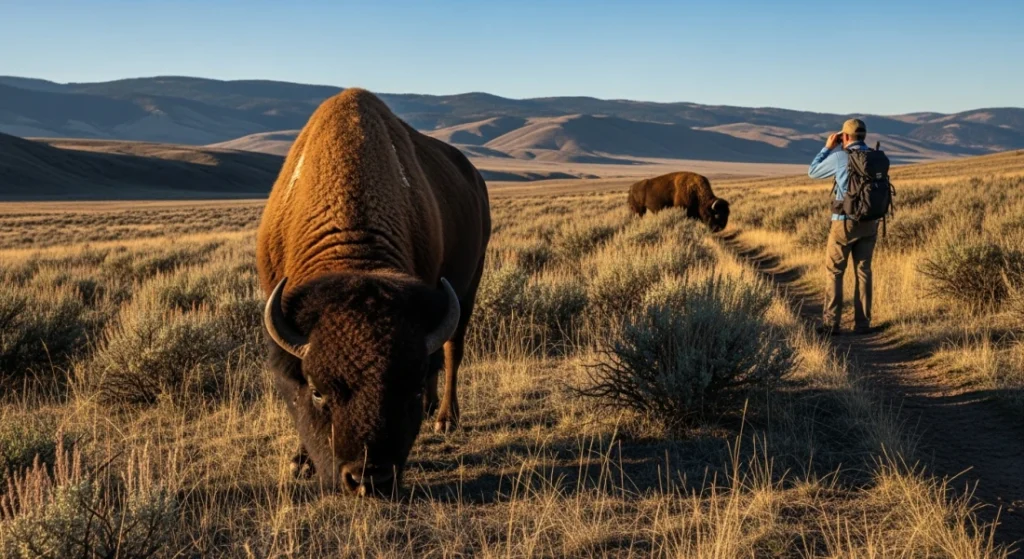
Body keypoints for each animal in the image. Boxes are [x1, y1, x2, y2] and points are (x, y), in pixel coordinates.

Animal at [255, 88, 491, 496]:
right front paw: (299, 462)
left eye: (407, 389)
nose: (369, 478)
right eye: (317, 390)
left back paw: (445, 418)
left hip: (470, 283)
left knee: (452, 350)